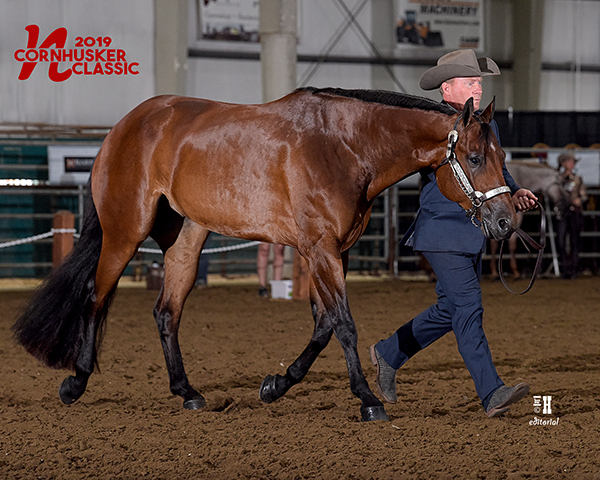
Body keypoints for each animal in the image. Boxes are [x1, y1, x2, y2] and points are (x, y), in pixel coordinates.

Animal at [14, 88, 520, 422]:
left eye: (501, 156)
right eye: (475, 158)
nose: (505, 222)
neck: (343, 145)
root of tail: (123, 127)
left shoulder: (334, 251)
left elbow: (323, 326)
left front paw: (275, 386)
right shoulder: (320, 250)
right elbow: (343, 325)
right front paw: (368, 400)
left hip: (186, 240)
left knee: (166, 312)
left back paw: (187, 391)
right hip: (125, 232)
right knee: (95, 298)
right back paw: (76, 382)